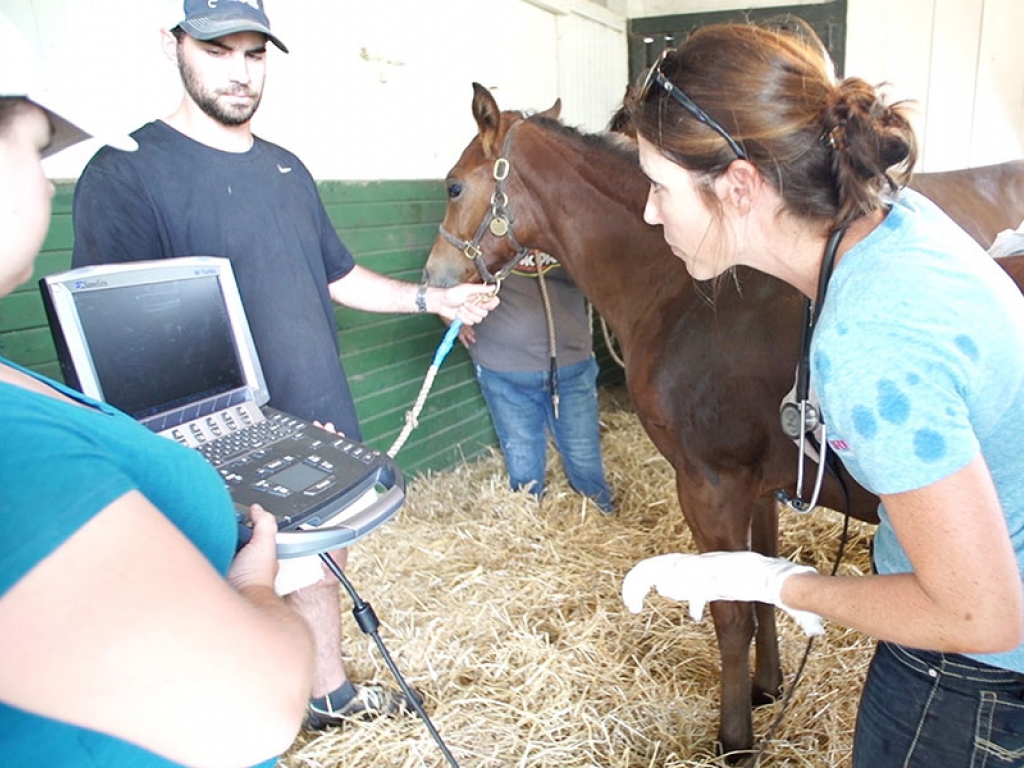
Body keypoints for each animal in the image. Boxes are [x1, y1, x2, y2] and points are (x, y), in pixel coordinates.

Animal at [421, 85, 1024, 765]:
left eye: (452, 186)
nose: (435, 279)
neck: (687, 292)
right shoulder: (760, 485)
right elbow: (764, 587)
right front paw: (768, 687)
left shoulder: (709, 483)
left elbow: (731, 613)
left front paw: (734, 740)